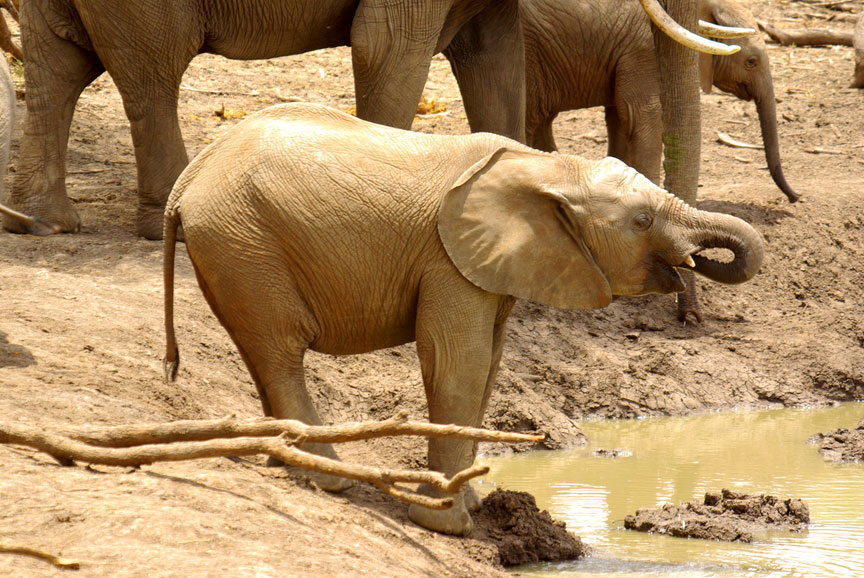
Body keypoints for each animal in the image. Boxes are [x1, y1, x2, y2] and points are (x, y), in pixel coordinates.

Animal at [162, 103, 764, 536]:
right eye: (641, 221)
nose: (696, 265)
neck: (545, 164)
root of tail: (186, 180)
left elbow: (490, 363)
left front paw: (475, 501)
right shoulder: (449, 261)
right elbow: (458, 363)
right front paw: (448, 524)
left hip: (234, 248)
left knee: (261, 351)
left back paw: (287, 467)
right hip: (243, 240)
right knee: (282, 351)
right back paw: (326, 480)